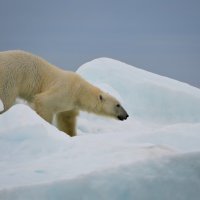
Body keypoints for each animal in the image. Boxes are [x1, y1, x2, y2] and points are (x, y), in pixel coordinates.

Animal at [0, 50, 128, 137]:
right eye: (118, 105)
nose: (126, 115)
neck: (80, 90)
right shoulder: (65, 90)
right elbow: (44, 102)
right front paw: (47, 126)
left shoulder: (71, 103)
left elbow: (66, 118)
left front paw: (70, 135)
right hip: (9, 78)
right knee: (7, 99)